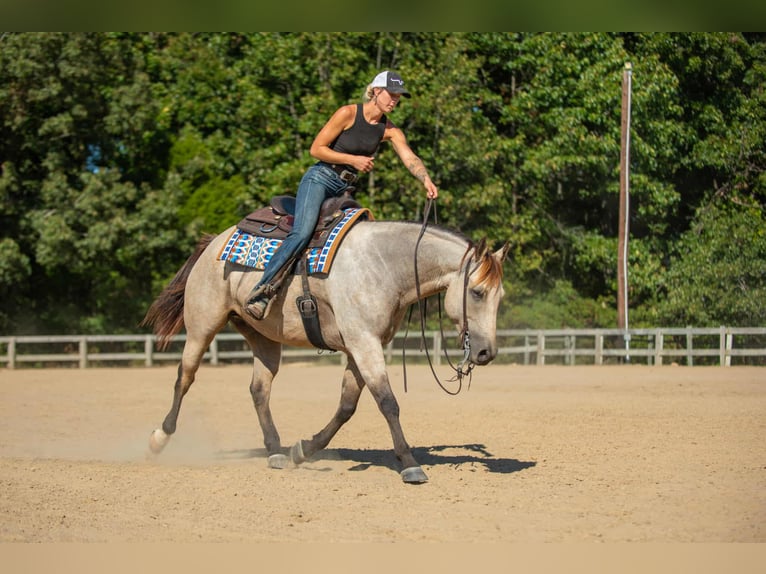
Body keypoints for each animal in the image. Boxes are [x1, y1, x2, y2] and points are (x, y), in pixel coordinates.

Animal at [141, 210, 509, 483]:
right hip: (202, 327)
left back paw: (276, 451)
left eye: (500, 295)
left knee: (259, 390)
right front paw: (409, 463)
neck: (383, 265)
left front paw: (303, 449)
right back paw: (159, 439)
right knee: (184, 377)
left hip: (264, 339)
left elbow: (347, 406)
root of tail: (213, 243)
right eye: (477, 292)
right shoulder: (364, 343)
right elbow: (388, 402)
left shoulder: (360, 347)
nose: (486, 353)